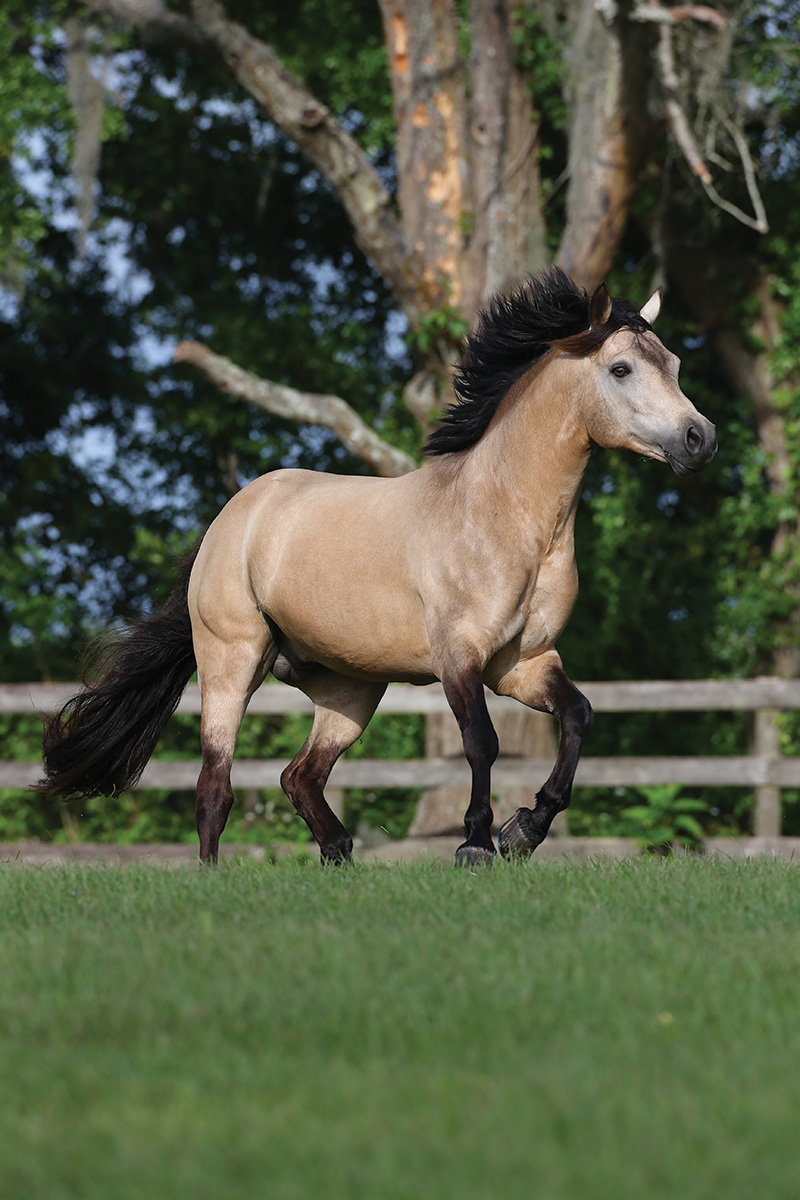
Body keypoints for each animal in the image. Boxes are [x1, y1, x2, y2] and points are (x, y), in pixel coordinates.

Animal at [34, 268, 714, 868]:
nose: (700, 438)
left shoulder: (522, 663)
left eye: (676, 365)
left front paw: (524, 831)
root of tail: (232, 518)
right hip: (232, 661)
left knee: (299, 777)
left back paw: (340, 855)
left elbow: (579, 717)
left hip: (349, 690)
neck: (506, 517)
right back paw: (215, 876)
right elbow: (481, 743)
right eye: (620, 369)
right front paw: (476, 844)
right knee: (215, 786)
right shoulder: (458, 656)